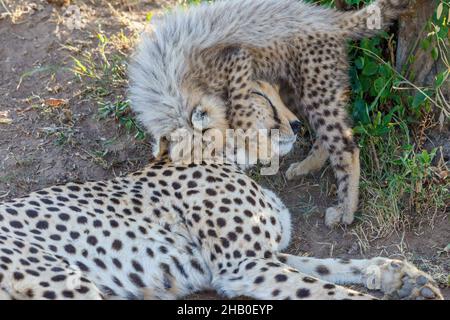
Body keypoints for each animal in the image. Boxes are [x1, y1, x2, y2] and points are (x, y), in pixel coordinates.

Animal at [0, 82, 442, 300]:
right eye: (262, 97)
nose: (297, 124)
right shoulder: (242, 265)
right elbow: (330, 290)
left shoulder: (256, 258)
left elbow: (328, 267)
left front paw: (400, 275)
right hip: (67, 284)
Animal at [128, 0, 414, 228]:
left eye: (264, 96)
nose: (295, 127)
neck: (173, 89)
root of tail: (326, 17)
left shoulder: (235, 58)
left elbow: (240, 107)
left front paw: (261, 147)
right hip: (300, 87)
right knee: (326, 135)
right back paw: (305, 164)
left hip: (316, 85)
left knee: (345, 145)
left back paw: (345, 210)